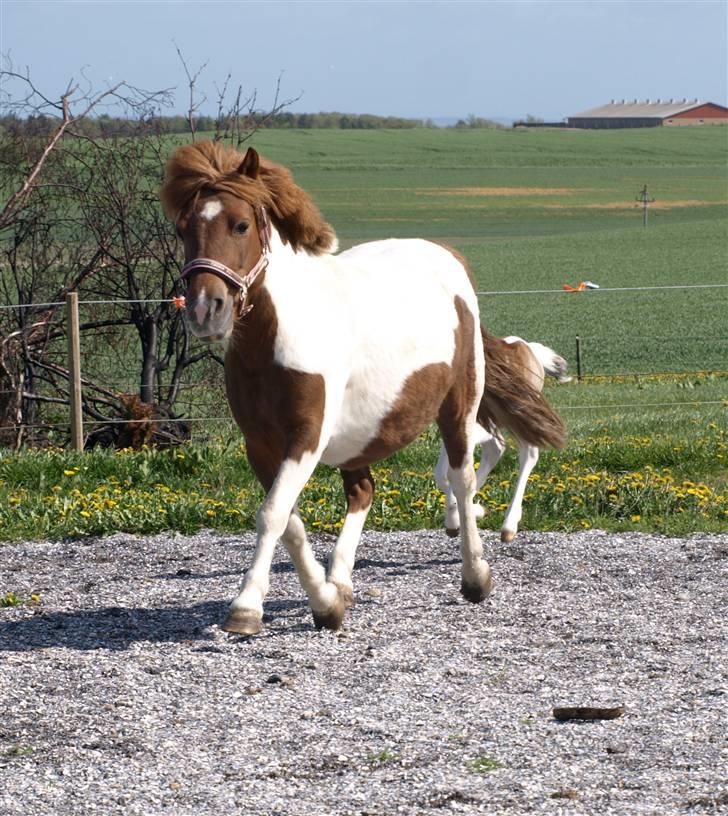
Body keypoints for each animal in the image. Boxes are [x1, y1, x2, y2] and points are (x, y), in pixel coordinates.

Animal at [161, 143, 552, 636]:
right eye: (182, 228)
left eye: (240, 225)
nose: (204, 311)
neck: (279, 337)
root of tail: (449, 258)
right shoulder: (261, 444)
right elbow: (289, 521)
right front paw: (327, 604)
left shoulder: (306, 437)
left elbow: (272, 515)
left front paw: (246, 607)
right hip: (361, 436)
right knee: (363, 490)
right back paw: (341, 583)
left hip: (460, 404)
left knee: (462, 478)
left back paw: (475, 575)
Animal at [432, 334, 568, 544]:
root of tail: (529, 348)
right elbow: (442, 474)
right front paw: (457, 518)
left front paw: (458, 515)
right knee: (495, 449)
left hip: (520, 417)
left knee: (527, 455)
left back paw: (508, 526)